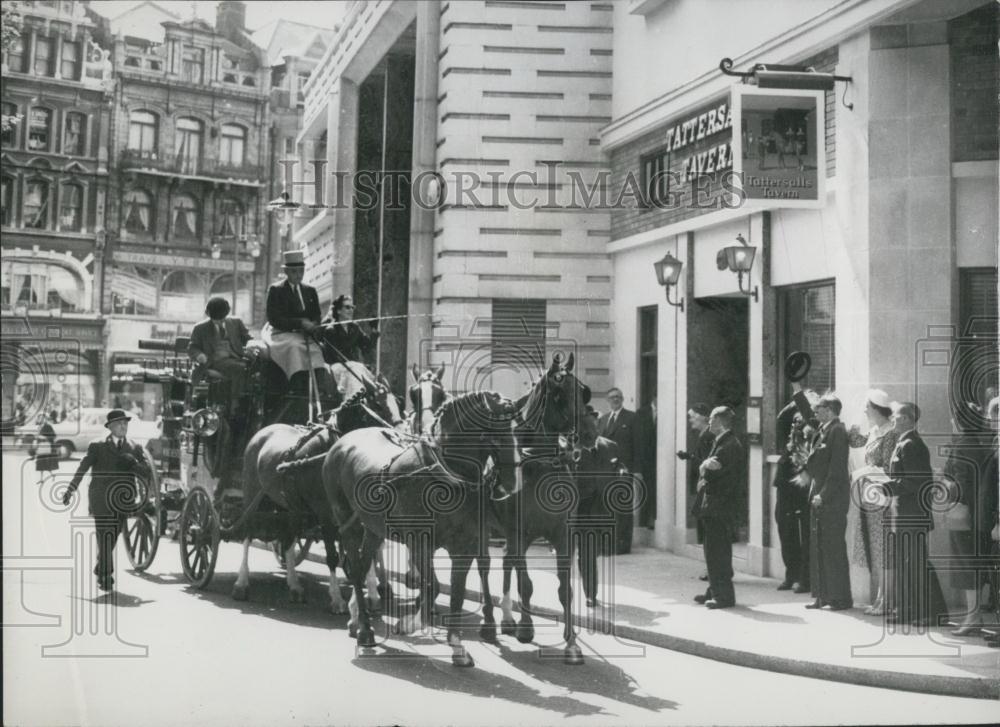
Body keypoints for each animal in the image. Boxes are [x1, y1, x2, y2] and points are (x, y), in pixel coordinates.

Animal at [232, 384, 400, 612]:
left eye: (397, 403)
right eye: (379, 406)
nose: (398, 437)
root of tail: (264, 431)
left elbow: (368, 554)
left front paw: (372, 596)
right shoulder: (326, 513)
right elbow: (333, 556)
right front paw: (337, 599)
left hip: (289, 506)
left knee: (287, 539)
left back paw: (294, 586)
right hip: (252, 495)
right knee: (248, 535)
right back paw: (241, 583)